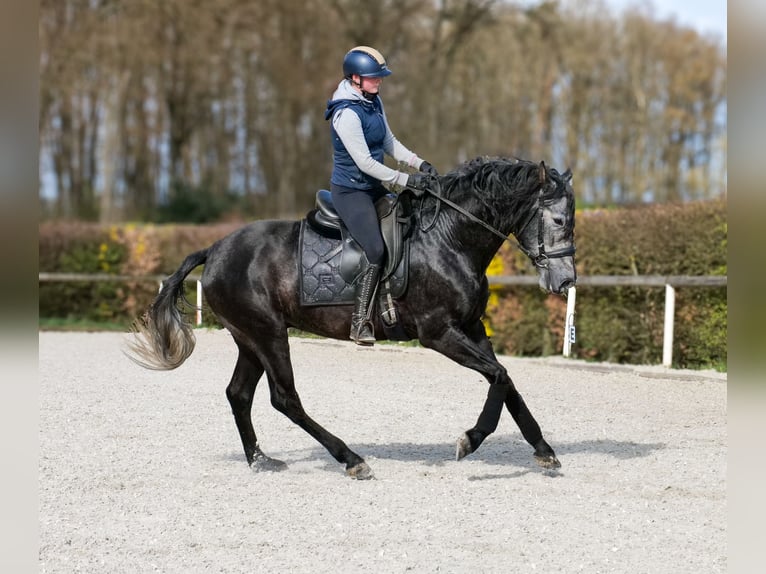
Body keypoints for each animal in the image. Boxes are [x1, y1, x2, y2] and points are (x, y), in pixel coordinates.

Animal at [127, 156, 577, 480]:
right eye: (559, 220)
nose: (566, 280)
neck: (448, 238)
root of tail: (215, 249)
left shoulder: (471, 328)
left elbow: (505, 380)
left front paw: (544, 451)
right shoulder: (439, 333)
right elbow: (499, 376)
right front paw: (470, 440)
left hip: (249, 338)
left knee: (239, 394)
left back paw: (260, 460)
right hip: (267, 333)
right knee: (284, 398)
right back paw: (350, 458)